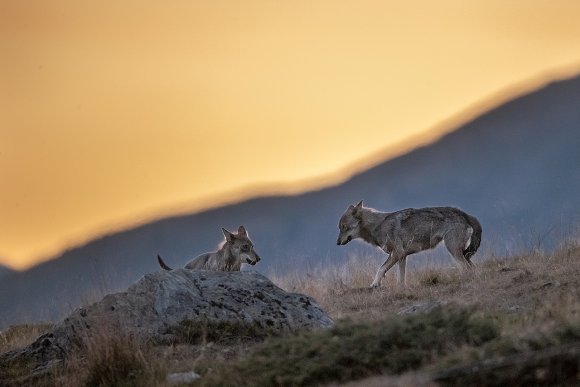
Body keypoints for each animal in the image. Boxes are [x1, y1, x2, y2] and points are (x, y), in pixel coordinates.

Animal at [336, 203, 480, 288]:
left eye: (343, 227)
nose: (337, 243)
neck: (378, 226)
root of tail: (465, 214)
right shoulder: (402, 256)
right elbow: (401, 278)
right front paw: (402, 289)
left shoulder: (397, 253)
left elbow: (381, 269)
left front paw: (374, 284)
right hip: (462, 254)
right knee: (473, 268)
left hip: (453, 250)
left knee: (468, 269)